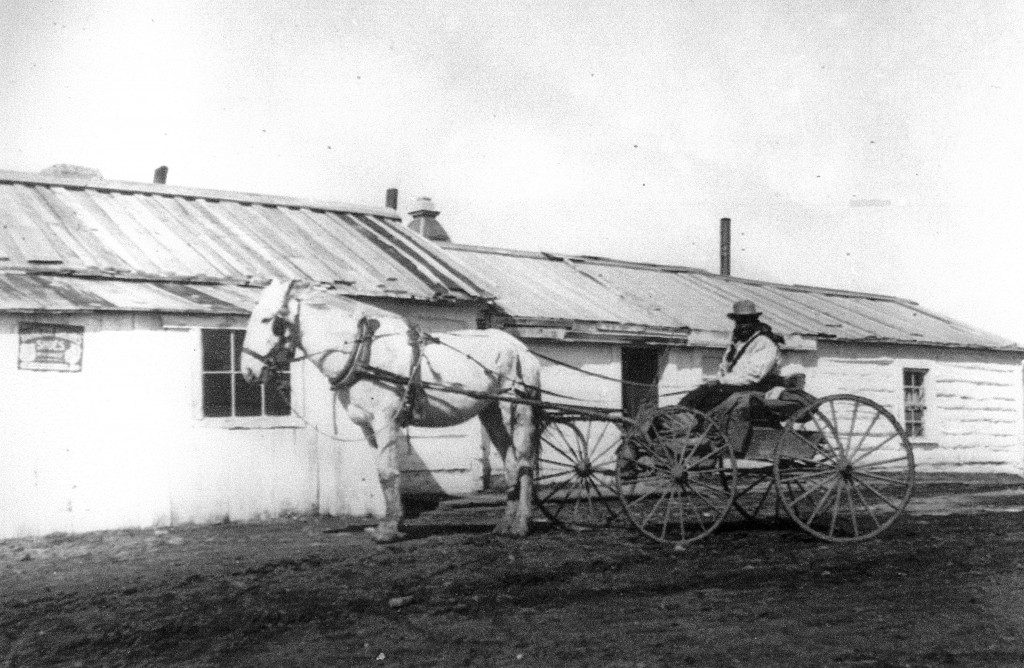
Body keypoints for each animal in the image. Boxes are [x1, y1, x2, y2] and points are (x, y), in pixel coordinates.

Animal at [241, 278, 544, 540]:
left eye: (267, 320)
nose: (248, 371)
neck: (362, 354)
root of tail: (519, 347)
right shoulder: (368, 426)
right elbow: (382, 473)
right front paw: (390, 523)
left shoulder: (384, 421)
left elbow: (388, 472)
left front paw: (388, 531)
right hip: (491, 412)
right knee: (510, 463)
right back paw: (504, 524)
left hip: (518, 410)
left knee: (525, 464)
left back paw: (521, 525)